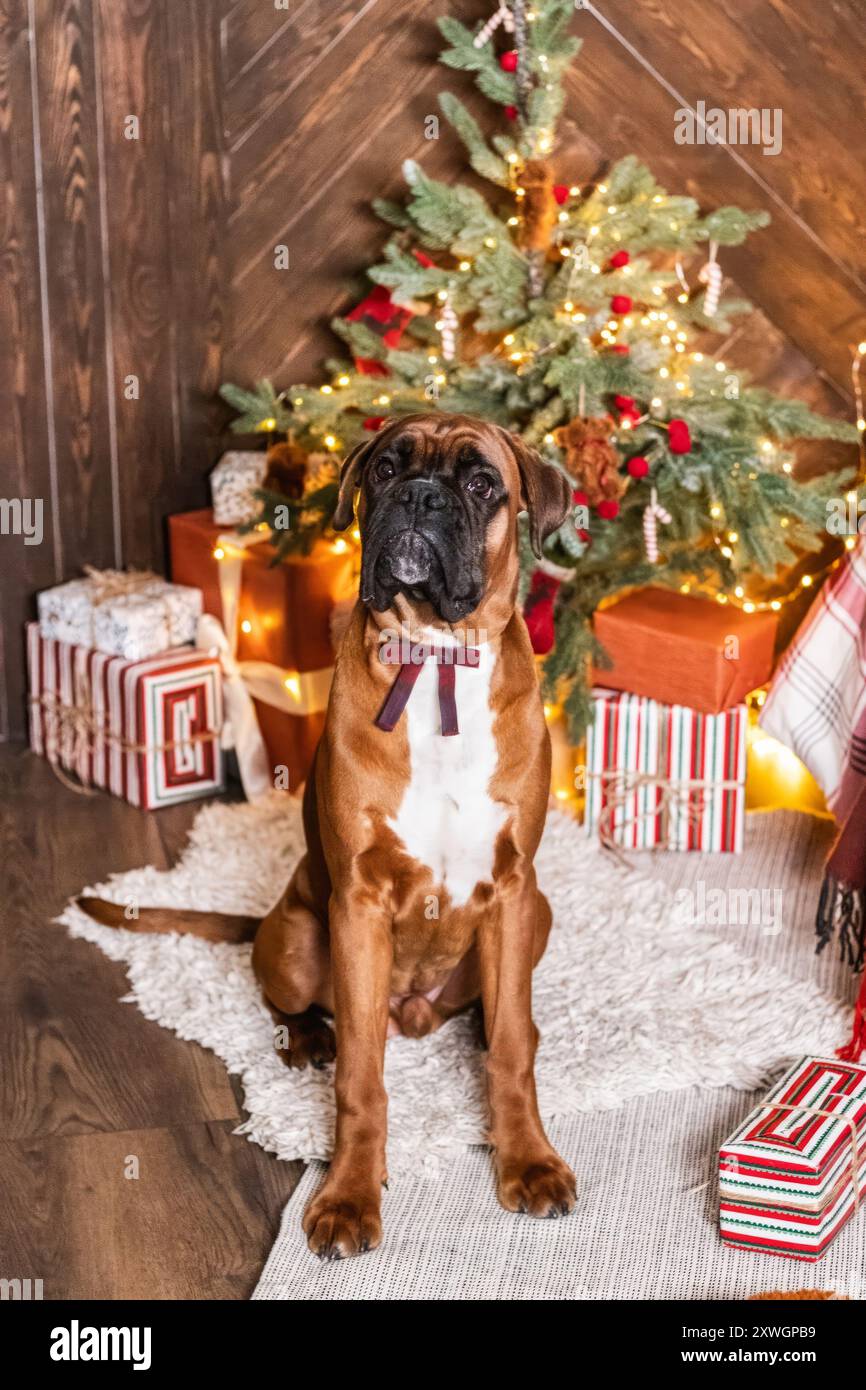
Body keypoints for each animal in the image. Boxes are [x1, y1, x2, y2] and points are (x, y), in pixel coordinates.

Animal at [79, 411, 575, 1262]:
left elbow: (511, 1051)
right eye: (385, 469)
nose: (420, 495)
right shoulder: (359, 904)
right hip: (299, 936)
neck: (434, 662)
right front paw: (348, 1194)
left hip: (534, 916)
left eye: (482, 483)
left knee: (494, 1012)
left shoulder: (512, 889)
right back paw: (308, 1037)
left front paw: (529, 1160)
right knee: (290, 999)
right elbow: (361, 1078)